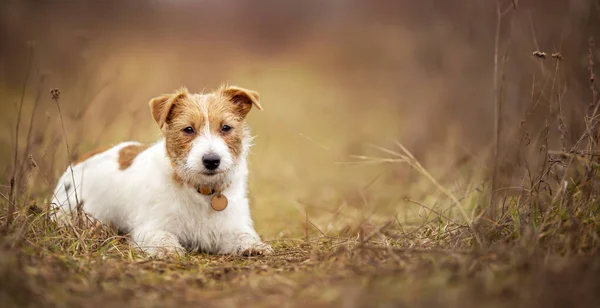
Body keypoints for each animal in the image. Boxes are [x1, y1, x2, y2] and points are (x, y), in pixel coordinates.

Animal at [51, 84, 274, 258]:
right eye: (188, 129)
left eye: (226, 127)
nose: (212, 160)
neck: (200, 190)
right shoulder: (151, 227)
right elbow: (162, 237)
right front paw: (168, 250)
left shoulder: (231, 226)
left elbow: (244, 235)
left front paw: (256, 246)